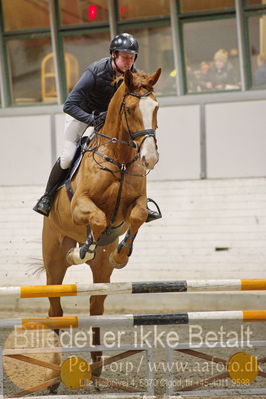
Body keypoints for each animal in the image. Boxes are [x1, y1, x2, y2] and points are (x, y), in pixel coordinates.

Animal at [42, 69, 161, 378]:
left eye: (156, 108)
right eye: (130, 110)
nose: (150, 158)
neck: (119, 159)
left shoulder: (136, 205)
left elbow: (137, 217)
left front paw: (121, 255)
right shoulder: (79, 207)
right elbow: (97, 217)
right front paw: (82, 251)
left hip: (101, 272)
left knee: (96, 305)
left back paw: (96, 365)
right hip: (53, 260)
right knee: (55, 310)